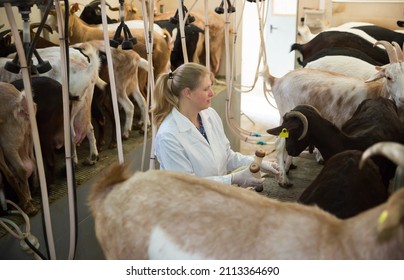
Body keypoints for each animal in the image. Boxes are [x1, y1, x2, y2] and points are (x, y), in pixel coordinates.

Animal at [264, 40, 404, 188]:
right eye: (388, 77)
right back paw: (283, 178)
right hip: (287, 112)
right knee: (280, 144)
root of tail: (277, 80)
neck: (377, 91)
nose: (402, 99)